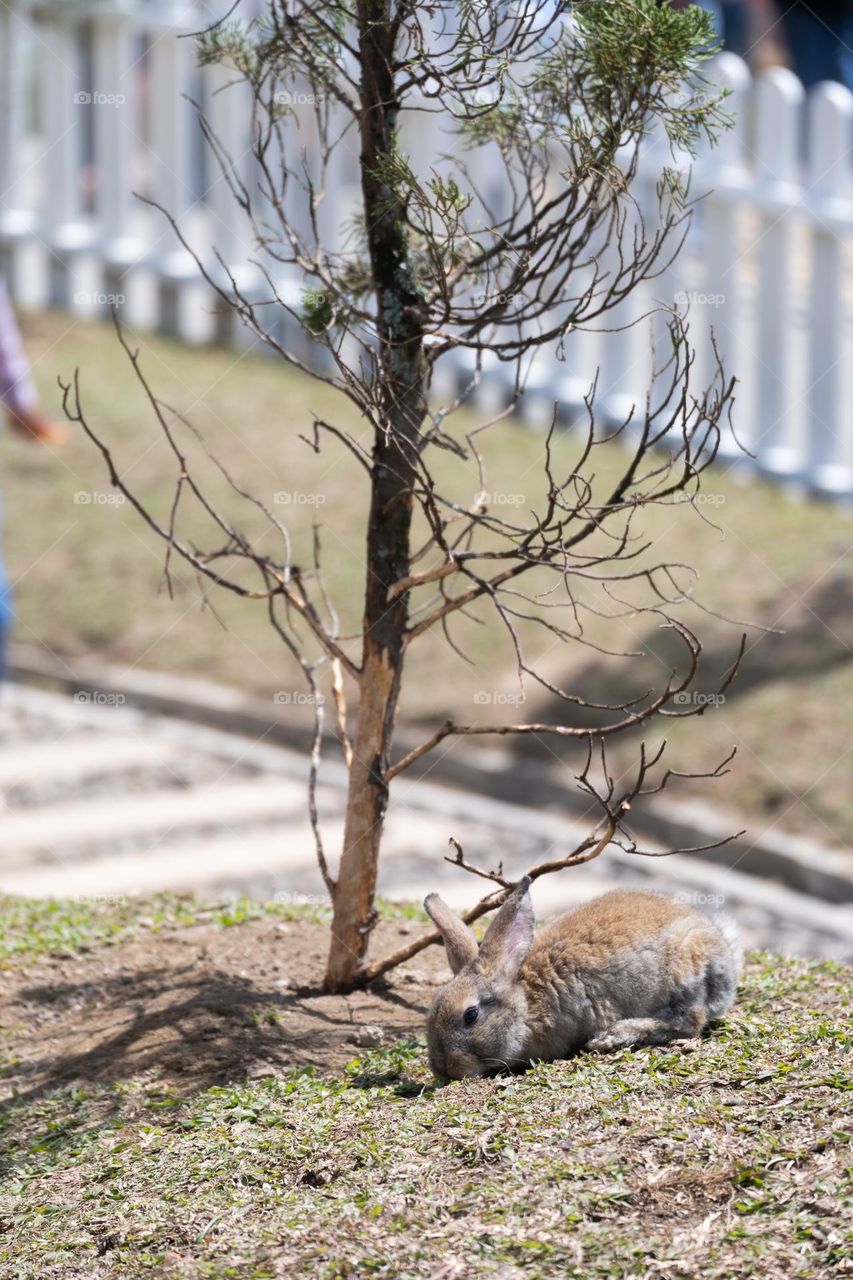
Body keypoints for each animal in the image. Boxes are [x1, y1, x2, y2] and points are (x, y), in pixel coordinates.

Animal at [423, 877, 742, 1079]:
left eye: (471, 1015)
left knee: (690, 1020)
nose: (444, 1068)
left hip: (684, 970)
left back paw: (612, 1036)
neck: (526, 1002)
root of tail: (724, 957)